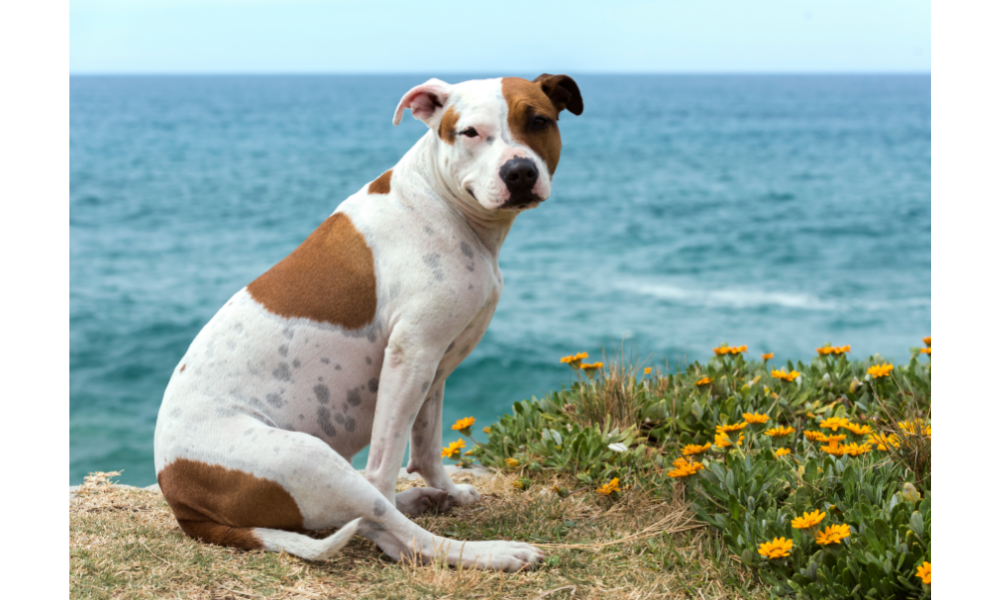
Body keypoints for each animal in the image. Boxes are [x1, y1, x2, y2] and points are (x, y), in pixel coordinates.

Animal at [152, 75, 584, 572]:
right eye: (470, 132)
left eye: (539, 121)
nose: (519, 172)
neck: (438, 198)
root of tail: (182, 500)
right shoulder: (410, 355)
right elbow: (385, 463)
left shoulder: (435, 364)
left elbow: (427, 445)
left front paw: (447, 489)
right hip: (307, 457)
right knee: (393, 529)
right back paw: (489, 551)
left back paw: (423, 500)